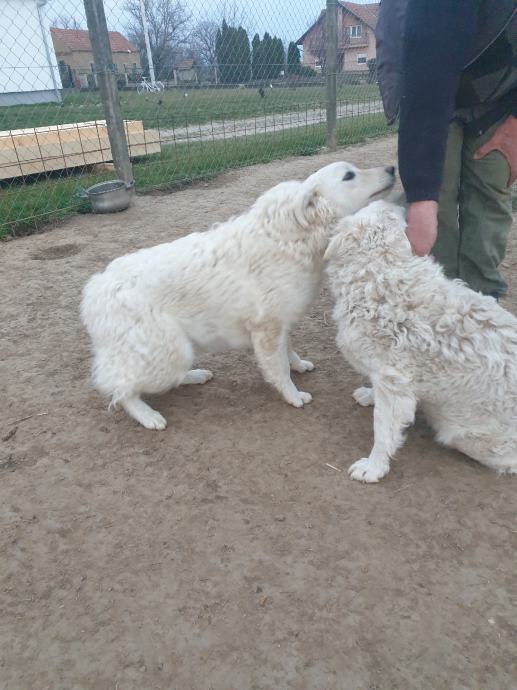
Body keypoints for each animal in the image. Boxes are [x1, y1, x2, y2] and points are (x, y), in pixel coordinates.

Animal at [81, 162, 396, 430]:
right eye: (349, 175)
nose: (392, 168)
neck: (294, 239)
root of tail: (96, 288)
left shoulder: (280, 324)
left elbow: (289, 351)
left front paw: (299, 365)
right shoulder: (267, 329)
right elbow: (279, 369)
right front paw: (293, 396)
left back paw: (195, 376)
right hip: (169, 352)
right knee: (121, 389)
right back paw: (147, 416)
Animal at [325, 200, 517, 482]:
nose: (397, 201)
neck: (381, 271)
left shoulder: (392, 382)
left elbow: (382, 428)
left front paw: (373, 467)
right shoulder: (386, 377)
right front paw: (369, 394)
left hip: (465, 436)